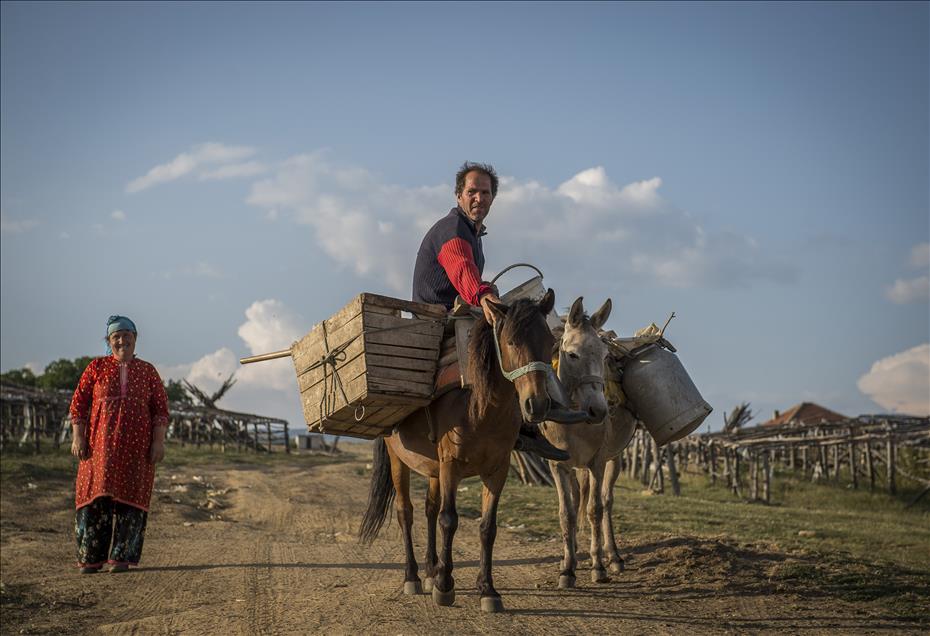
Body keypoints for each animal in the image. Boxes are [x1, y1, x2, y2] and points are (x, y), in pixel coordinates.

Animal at [358, 290, 556, 612]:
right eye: (511, 342)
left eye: (550, 341)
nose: (536, 405)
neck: (480, 408)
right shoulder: (451, 465)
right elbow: (449, 520)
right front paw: (444, 585)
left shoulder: (497, 470)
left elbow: (487, 528)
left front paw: (487, 589)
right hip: (400, 460)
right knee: (406, 512)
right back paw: (413, 576)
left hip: (433, 468)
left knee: (429, 508)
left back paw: (430, 569)